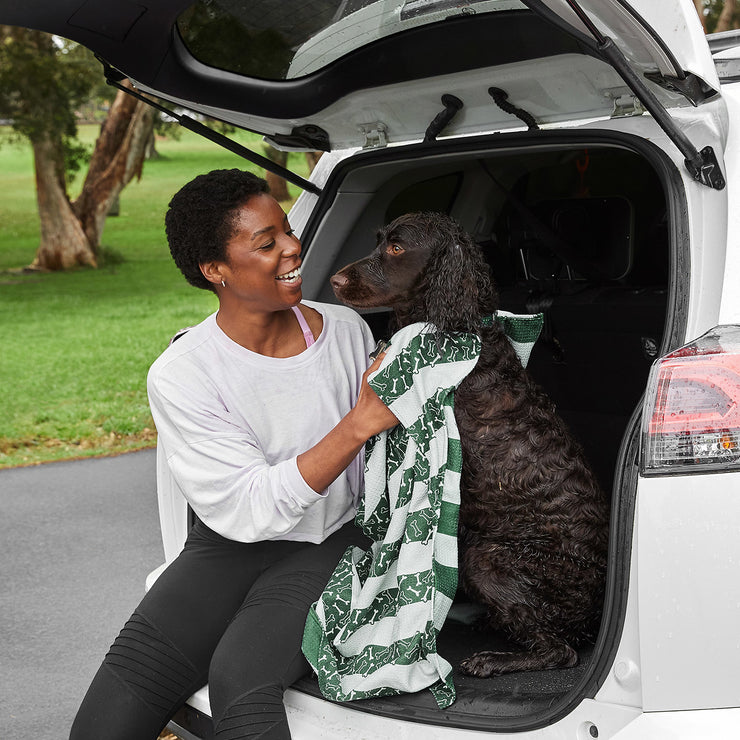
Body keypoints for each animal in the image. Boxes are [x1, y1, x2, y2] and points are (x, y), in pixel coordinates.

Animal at [330, 211, 608, 680]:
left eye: (397, 248)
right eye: (379, 240)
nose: (334, 280)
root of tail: (593, 616)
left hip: (487, 557)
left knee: (560, 650)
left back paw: (493, 659)